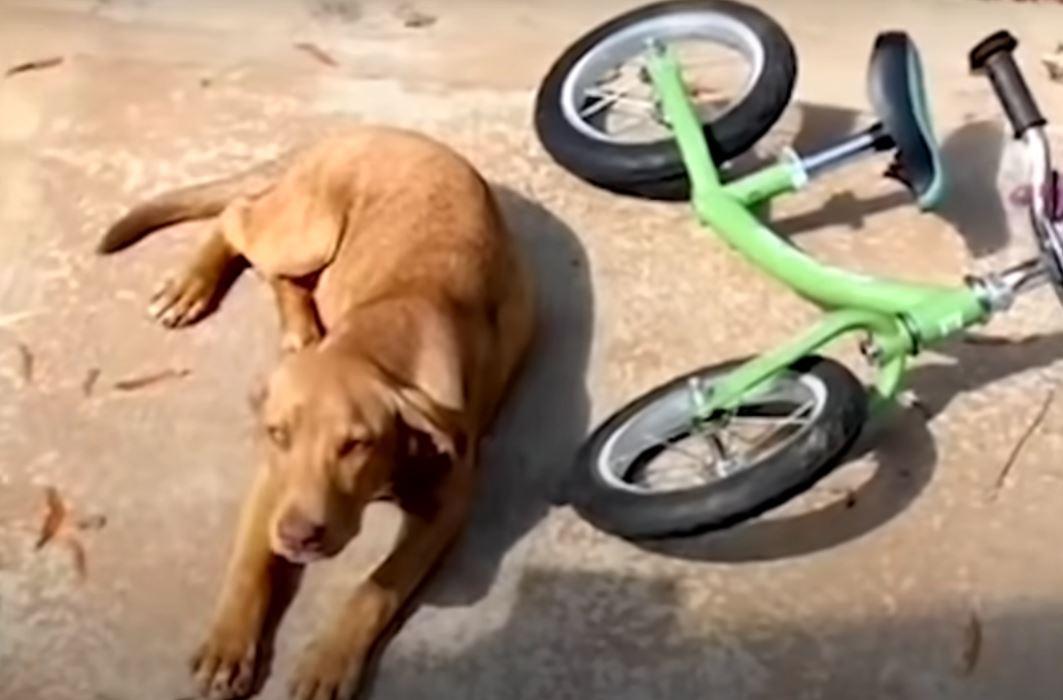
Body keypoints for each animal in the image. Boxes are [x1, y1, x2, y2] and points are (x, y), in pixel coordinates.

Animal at [97, 127, 531, 700]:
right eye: (278, 435)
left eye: (356, 444)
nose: (298, 536)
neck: (377, 342)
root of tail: (358, 131)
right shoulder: (273, 482)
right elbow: (249, 565)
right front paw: (228, 644)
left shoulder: (449, 502)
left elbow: (375, 589)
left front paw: (329, 661)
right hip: (309, 231)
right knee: (238, 217)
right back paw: (195, 286)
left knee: (273, 261)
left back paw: (296, 327)